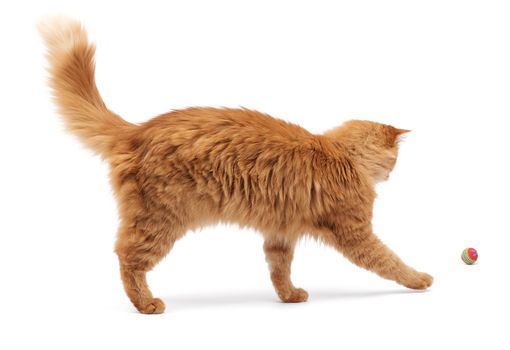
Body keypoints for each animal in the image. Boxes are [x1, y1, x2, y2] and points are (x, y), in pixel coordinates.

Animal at [38, 17, 430, 314]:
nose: (393, 173)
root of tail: (137, 129)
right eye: (395, 160)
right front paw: (420, 279)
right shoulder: (355, 233)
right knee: (127, 257)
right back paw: (146, 304)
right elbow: (390, 261)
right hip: (159, 221)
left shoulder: (280, 233)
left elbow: (279, 270)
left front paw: (289, 297)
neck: (340, 154)